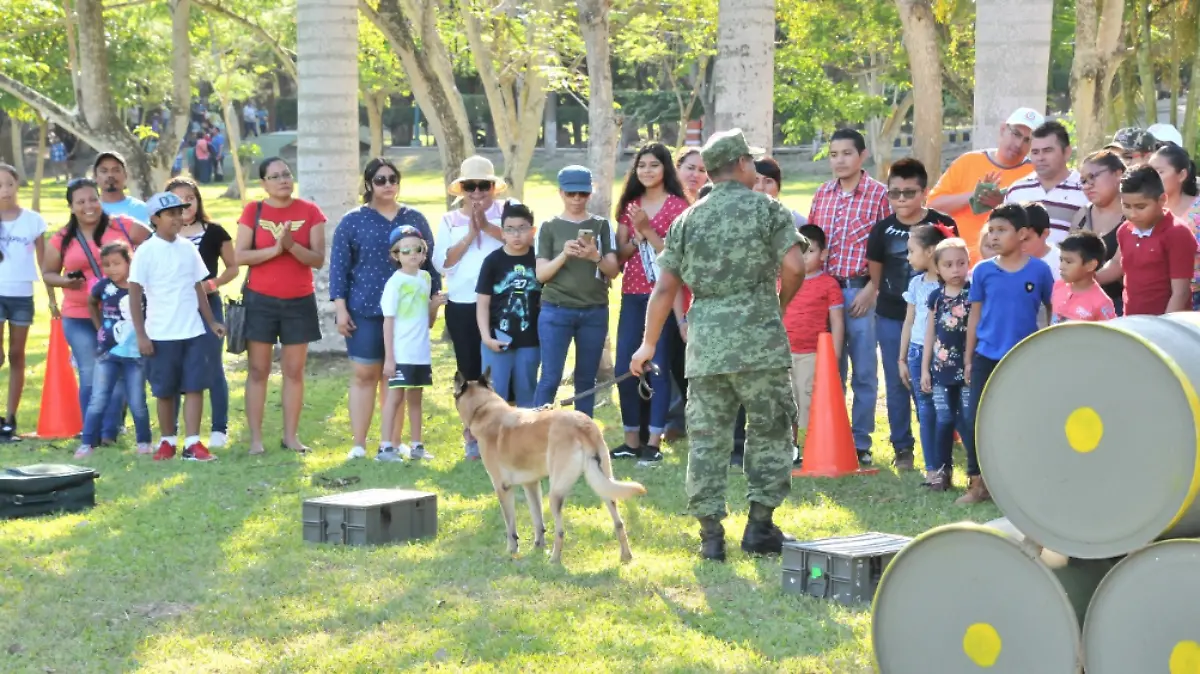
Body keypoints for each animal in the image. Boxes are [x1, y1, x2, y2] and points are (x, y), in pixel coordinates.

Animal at [453, 369, 652, 563]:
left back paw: (554, 560)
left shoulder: (502, 488)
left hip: (555, 494)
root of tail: (583, 426)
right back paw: (626, 556)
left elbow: (511, 527)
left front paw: (512, 550)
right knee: (619, 522)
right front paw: (538, 547)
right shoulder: (531, 485)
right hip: (604, 484)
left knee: (560, 531)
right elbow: (538, 521)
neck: (484, 408)